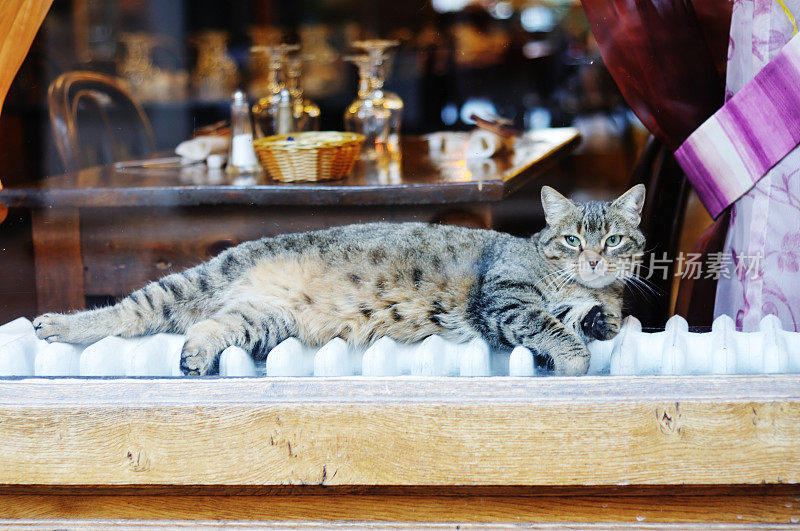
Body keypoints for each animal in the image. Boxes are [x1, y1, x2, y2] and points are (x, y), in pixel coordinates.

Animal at [34, 185, 648, 376]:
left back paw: (195, 354)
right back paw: (54, 326)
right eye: (573, 240)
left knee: (207, 328)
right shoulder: (505, 301)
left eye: (614, 240)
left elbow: (599, 320)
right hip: (190, 284)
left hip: (260, 321)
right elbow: (551, 327)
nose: (595, 260)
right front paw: (572, 355)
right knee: (123, 312)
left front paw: (598, 317)